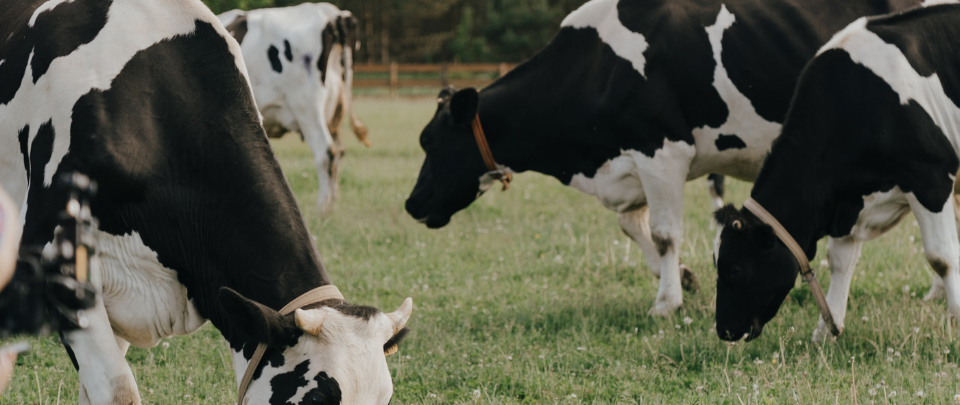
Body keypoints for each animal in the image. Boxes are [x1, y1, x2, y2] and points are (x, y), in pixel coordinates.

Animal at [219, 3, 370, 215]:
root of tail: (332, 12)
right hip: (334, 113)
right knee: (339, 152)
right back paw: (331, 206)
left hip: (307, 106)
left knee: (327, 152)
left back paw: (321, 210)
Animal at [404, 0, 924, 316]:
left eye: (430, 141)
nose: (411, 204)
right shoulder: (629, 164)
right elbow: (633, 227)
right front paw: (684, 278)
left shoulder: (662, 151)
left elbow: (664, 232)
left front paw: (666, 301)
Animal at [716, 3, 960, 342]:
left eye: (734, 269)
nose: (723, 329)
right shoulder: (848, 201)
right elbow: (840, 260)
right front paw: (827, 329)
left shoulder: (931, 178)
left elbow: (942, 256)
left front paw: (957, 316)